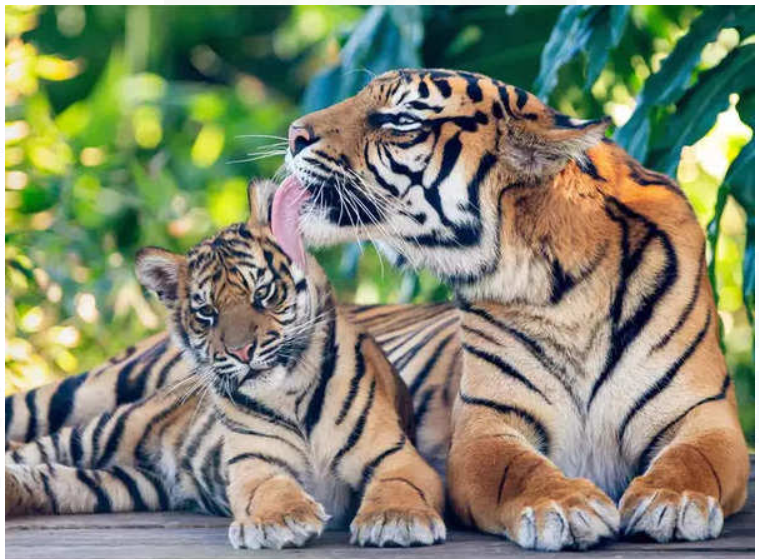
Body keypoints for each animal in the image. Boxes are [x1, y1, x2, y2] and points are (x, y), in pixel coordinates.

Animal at [5, 180, 447, 549]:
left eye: (263, 293)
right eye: (207, 313)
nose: (242, 352)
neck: (289, 393)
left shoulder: (395, 455)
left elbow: (401, 484)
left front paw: (396, 520)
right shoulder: (257, 464)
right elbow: (269, 489)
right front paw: (279, 521)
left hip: (123, 482)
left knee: (47, 479)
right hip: (99, 432)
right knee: (28, 454)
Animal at [269, 68, 749, 550]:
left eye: (401, 119)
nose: (293, 135)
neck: (565, 287)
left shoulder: (705, 414)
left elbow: (695, 457)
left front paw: (672, 499)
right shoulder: (485, 427)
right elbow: (518, 470)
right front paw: (564, 505)